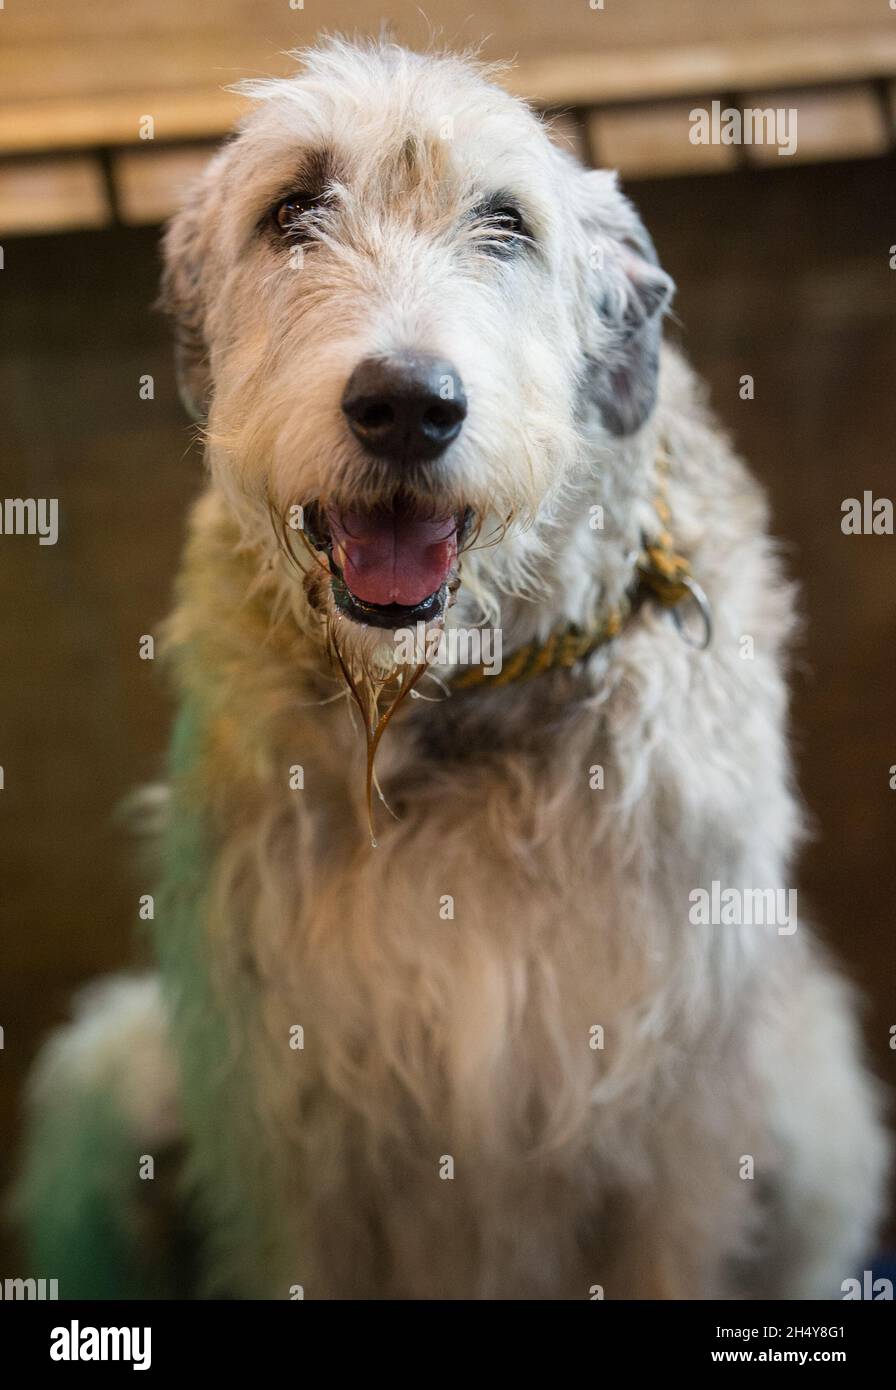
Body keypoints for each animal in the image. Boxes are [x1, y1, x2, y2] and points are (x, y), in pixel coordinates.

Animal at [15, 43, 889, 1301]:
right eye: (293, 207)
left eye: (505, 222)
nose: (406, 405)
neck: (457, 703)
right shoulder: (283, 1106)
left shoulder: (674, 1110)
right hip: (109, 1083)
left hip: (814, 1120)